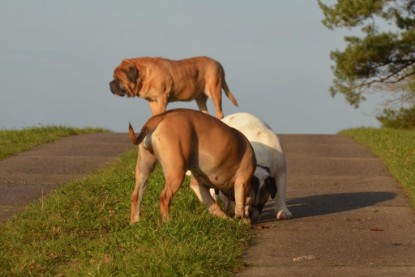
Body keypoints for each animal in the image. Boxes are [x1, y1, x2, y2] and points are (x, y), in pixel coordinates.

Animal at [109, 56, 239, 117]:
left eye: (118, 79)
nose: (110, 84)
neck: (144, 75)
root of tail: (218, 63)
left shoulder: (162, 97)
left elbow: (160, 113)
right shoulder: (152, 101)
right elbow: (155, 114)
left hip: (215, 90)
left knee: (219, 111)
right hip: (200, 98)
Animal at [127, 106, 256, 223]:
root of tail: (161, 117)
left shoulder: (198, 185)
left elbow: (213, 205)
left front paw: (225, 218)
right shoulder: (242, 182)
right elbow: (240, 206)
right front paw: (244, 220)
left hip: (144, 168)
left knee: (136, 196)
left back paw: (135, 222)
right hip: (176, 173)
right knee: (164, 197)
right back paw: (167, 222)